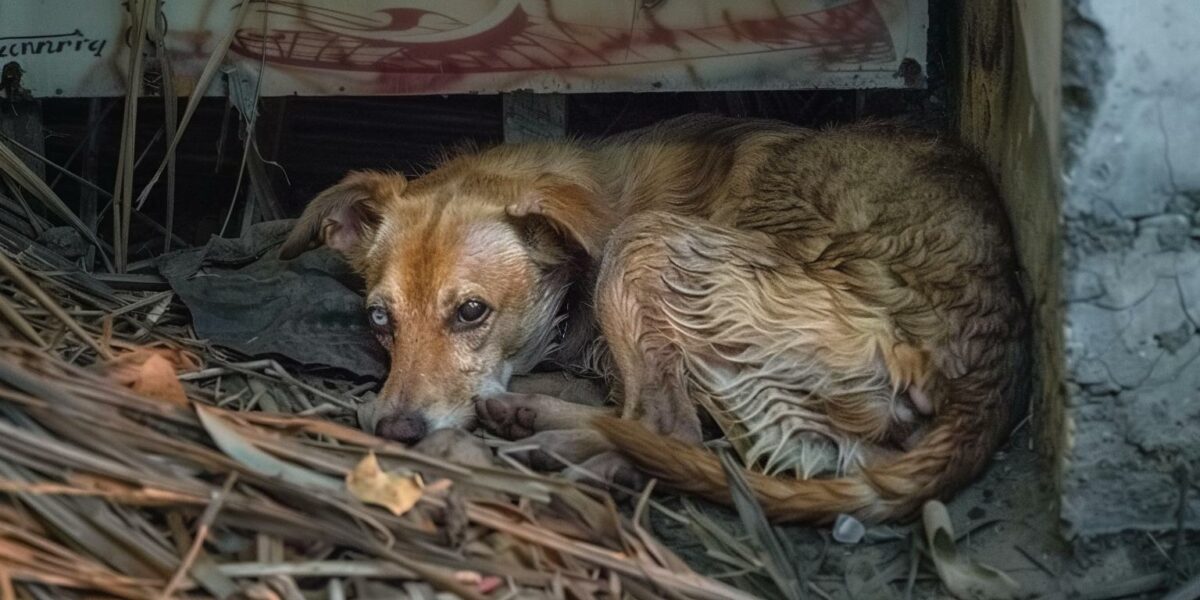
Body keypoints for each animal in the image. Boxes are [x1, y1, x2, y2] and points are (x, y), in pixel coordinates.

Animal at [280, 114, 1032, 523]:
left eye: (471, 312)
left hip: (644, 244)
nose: (397, 431)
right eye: (380, 319)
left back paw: (551, 438)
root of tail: (988, 369)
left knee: (666, 430)